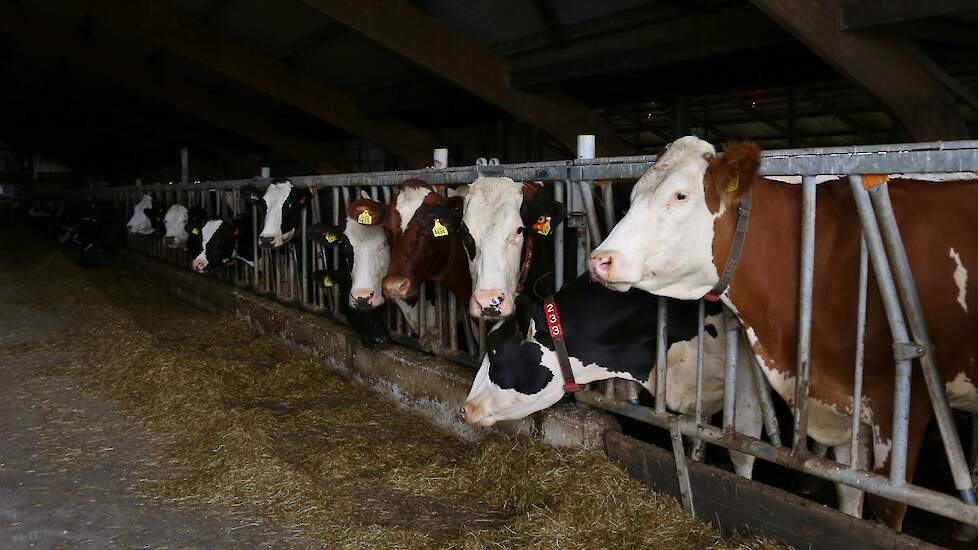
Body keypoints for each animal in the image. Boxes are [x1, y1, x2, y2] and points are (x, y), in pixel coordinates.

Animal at [588, 135, 976, 532]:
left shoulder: (902, 404)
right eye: (634, 194)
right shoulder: (842, 399)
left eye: (680, 195)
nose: (600, 259)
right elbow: (845, 487)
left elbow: (885, 506)